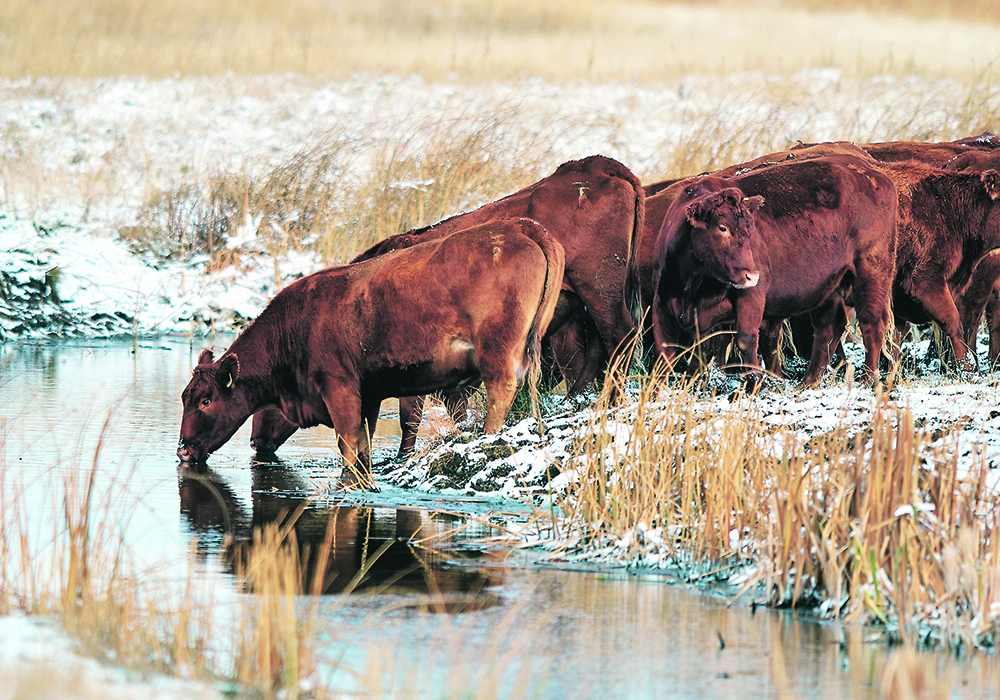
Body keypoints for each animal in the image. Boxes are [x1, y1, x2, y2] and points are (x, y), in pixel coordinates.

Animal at [177, 216, 568, 490]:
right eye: (186, 397)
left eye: (207, 400)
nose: (183, 449)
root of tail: (521, 226)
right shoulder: (370, 396)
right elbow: (363, 444)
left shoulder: (340, 388)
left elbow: (349, 443)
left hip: (497, 351)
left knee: (501, 389)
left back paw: (486, 438)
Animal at [636, 154, 904, 388]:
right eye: (722, 227)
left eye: (750, 228)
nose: (751, 275)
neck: (691, 284)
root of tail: (871, 173)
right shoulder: (663, 304)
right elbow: (670, 353)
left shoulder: (751, 297)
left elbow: (745, 340)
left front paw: (757, 382)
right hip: (829, 284)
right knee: (828, 327)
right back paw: (808, 382)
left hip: (871, 269)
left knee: (871, 321)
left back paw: (868, 378)